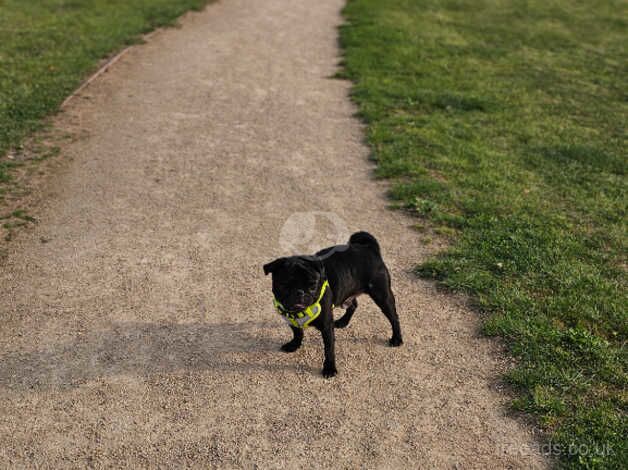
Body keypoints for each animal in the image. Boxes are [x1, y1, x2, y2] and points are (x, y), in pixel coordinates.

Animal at [264, 231, 402, 378]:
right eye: (284, 285)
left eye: (312, 285)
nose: (299, 292)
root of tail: (369, 249)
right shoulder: (291, 320)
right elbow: (297, 332)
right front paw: (294, 345)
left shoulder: (326, 327)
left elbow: (329, 349)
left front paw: (330, 368)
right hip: (348, 292)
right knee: (354, 305)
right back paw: (343, 322)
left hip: (382, 295)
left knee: (394, 317)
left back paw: (397, 339)